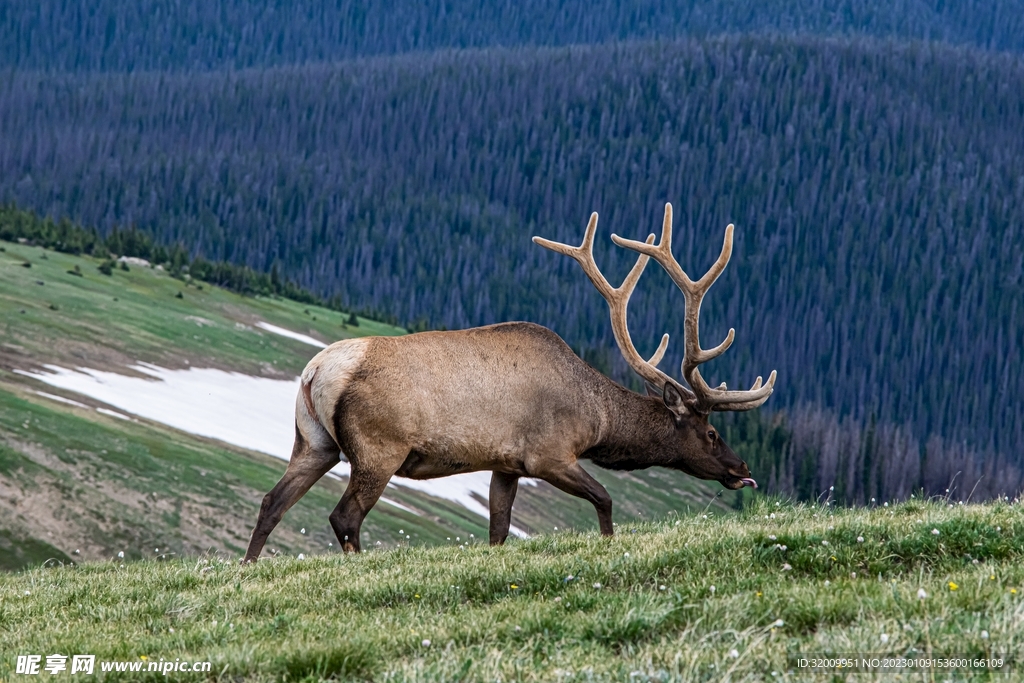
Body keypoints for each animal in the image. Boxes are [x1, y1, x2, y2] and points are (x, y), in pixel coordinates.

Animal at [242, 204, 776, 562]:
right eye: (711, 432)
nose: (742, 467)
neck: (597, 419)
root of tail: (316, 371)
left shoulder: (506, 464)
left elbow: (498, 528)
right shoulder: (549, 454)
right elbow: (604, 499)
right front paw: (609, 544)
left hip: (312, 441)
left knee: (272, 502)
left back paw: (248, 567)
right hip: (378, 447)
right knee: (344, 516)